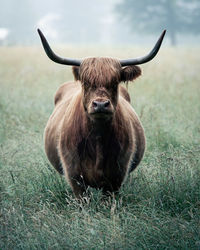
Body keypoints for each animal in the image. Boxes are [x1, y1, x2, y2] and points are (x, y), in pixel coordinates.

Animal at [37, 28, 166, 197]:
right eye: (86, 83)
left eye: (115, 82)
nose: (100, 105)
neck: (97, 138)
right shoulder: (75, 176)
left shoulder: (116, 176)